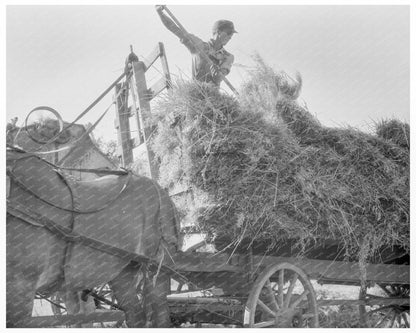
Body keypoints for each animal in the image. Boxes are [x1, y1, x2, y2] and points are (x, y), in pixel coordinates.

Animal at [6, 147, 179, 326]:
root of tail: (159, 188)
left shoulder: (19, 286)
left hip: (157, 266)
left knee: (161, 314)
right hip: (122, 270)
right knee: (136, 316)